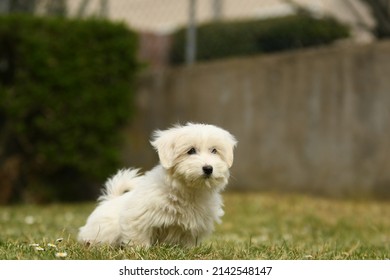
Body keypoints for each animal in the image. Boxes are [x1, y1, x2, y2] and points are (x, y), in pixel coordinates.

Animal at [77, 122, 236, 247]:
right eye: (190, 151)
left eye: (214, 150)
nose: (208, 168)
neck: (188, 190)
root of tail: (111, 199)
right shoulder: (137, 217)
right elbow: (138, 236)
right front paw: (140, 250)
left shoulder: (194, 227)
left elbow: (188, 242)